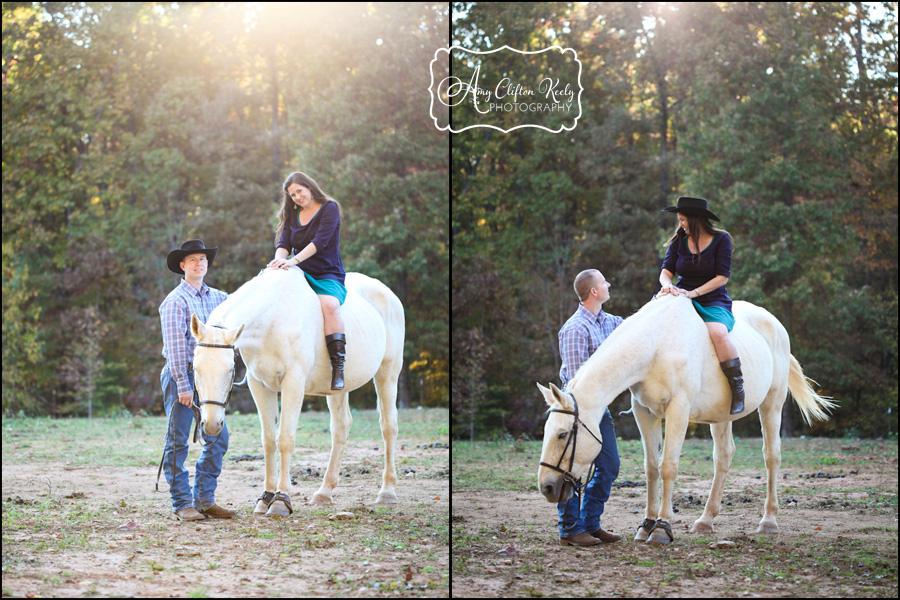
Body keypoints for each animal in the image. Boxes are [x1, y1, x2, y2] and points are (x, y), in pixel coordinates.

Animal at [192, 268, 404, 516]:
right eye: (195, 368)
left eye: (229, 369)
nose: (211, 425)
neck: (271, 319)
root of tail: (387, 293)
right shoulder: (259, 385)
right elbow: (268, 441)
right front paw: (265, 498)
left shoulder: (293, 382)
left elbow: (285, 439)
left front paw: (281, 501)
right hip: (338, 388)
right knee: (341, 427)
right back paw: (324, 493)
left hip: (388, 373)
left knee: (388, 426)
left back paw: (387, 492)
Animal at [536, 296, 836, 544]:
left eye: (563, 434)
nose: (547, 487)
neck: (657, 344)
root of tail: (774, 324)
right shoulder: (644, 413)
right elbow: (651, 469)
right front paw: (646, 525)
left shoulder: (677, 410)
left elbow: (668, 467)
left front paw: (661, 528)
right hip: (722, 415)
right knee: (724, 456)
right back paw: (705, 521)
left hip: (772, 403)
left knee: (771, 456)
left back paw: (768, 522)